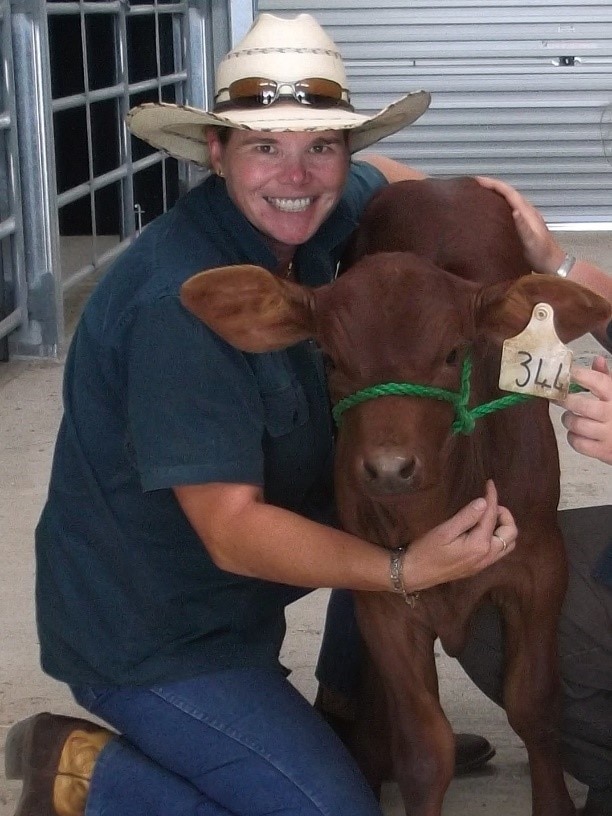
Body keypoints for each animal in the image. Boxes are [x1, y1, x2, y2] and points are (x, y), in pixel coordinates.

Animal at [179, 178, 608, 816]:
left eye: (454, 352)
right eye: (329, 358)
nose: (388, 468)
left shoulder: (540, 565)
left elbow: (533, 706)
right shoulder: (382, 601)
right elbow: (425, 749)